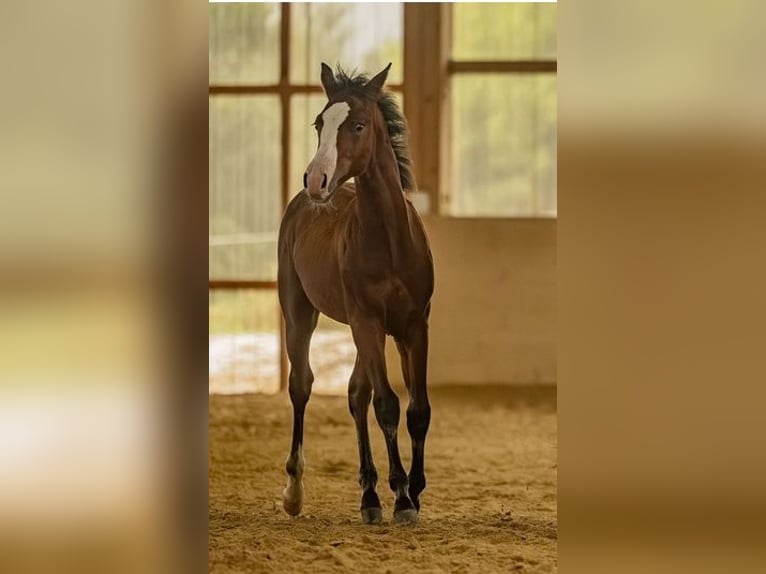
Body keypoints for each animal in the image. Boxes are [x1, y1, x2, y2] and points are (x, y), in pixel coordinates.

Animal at [277, 63, 434, 525]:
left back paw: (369, 492)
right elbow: (387, 406)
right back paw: (298, 491)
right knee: (303, 385)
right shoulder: (366, 322)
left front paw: (414, 490)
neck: (390, 242)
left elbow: (417, 410)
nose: (316, 179)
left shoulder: (413, 326)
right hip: (301, 314)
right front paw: (401, 497)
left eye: (359, 125)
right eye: (319, 123)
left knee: (354, 394)